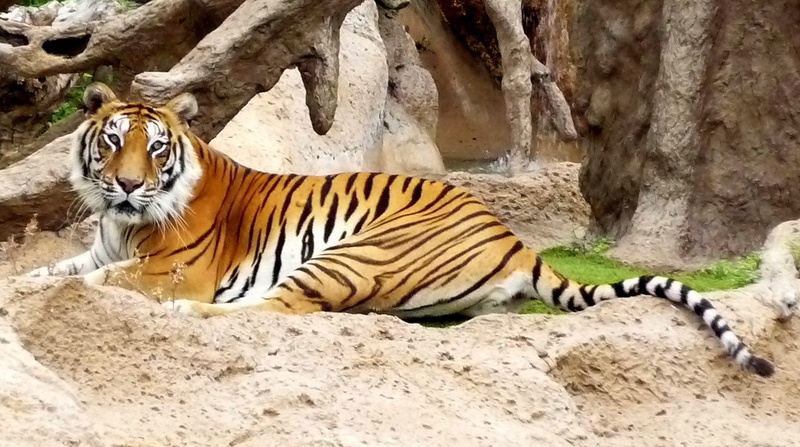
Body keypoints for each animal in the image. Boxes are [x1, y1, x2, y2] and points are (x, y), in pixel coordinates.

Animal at [27, 82, 775, 377]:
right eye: (113, 141)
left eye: (155, 149)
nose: (128, 185)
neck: (122, 221)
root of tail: (514, 237)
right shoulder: (96, 247)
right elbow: (50, 271)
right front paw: (34, 282)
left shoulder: (170, 268)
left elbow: (107, 281)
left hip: (352, 252)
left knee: (276, 310)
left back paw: (194, 315)